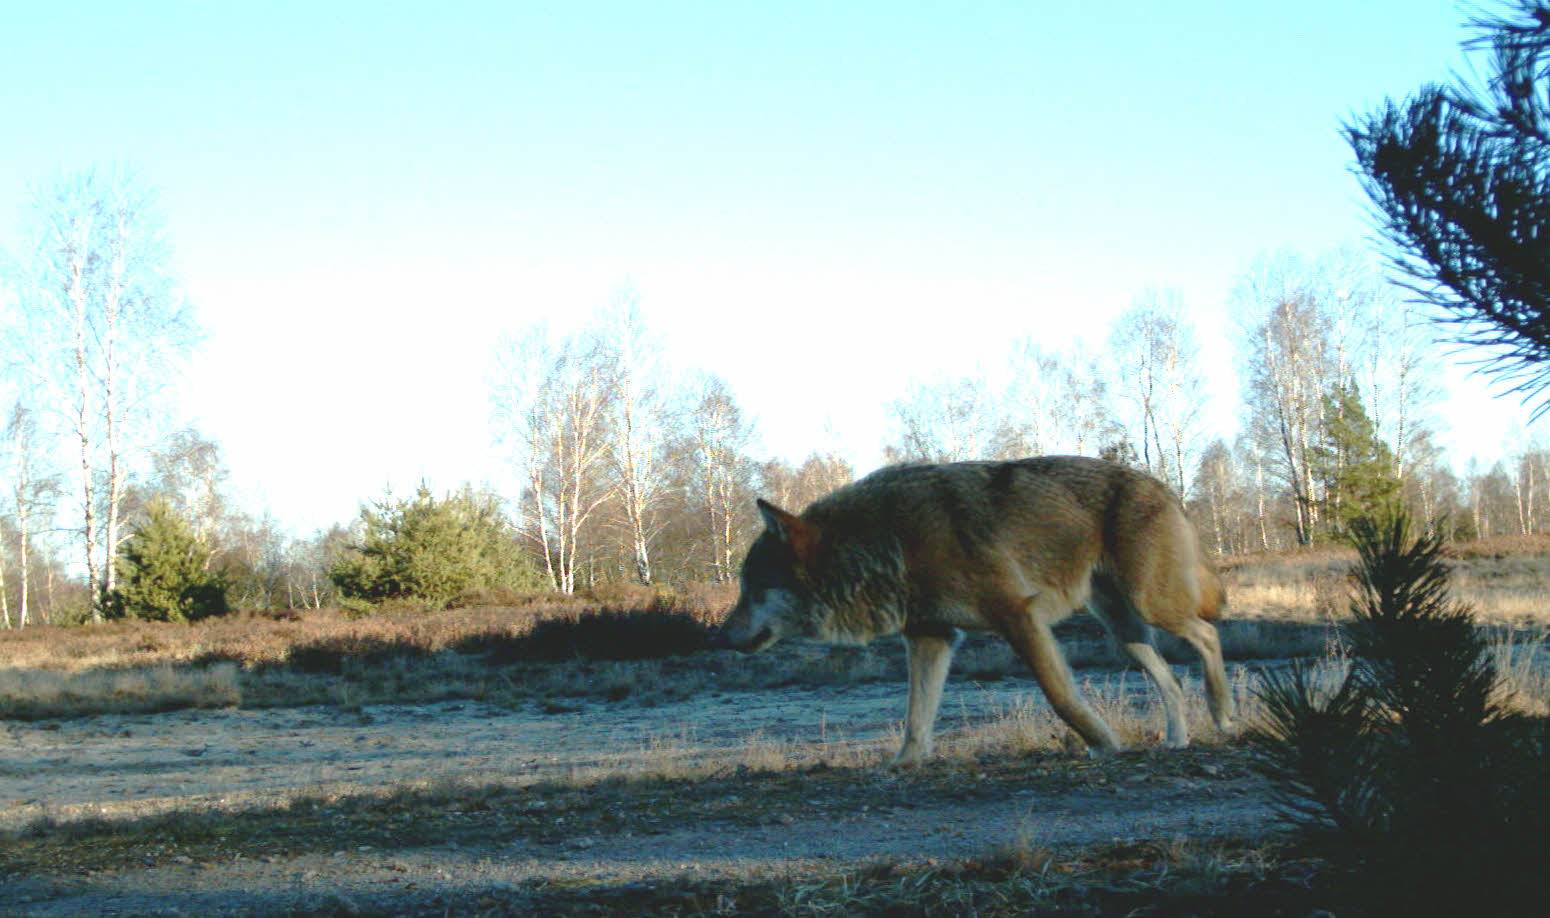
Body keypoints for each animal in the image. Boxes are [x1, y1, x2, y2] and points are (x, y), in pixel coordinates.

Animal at [720, 456, 1234, 766]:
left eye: (753, 589)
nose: (718, 637)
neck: (884, 543)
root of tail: (1163, 486)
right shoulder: (930, 636)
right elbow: (916, 718)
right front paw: (904, 764)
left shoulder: (1018, 616)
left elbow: (1060, 697)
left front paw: (1105, 744)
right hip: (1123, 630)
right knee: (1171, 680)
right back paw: (1177, 740)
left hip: (1151, 606)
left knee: (1209, 635)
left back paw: (1223, 714)